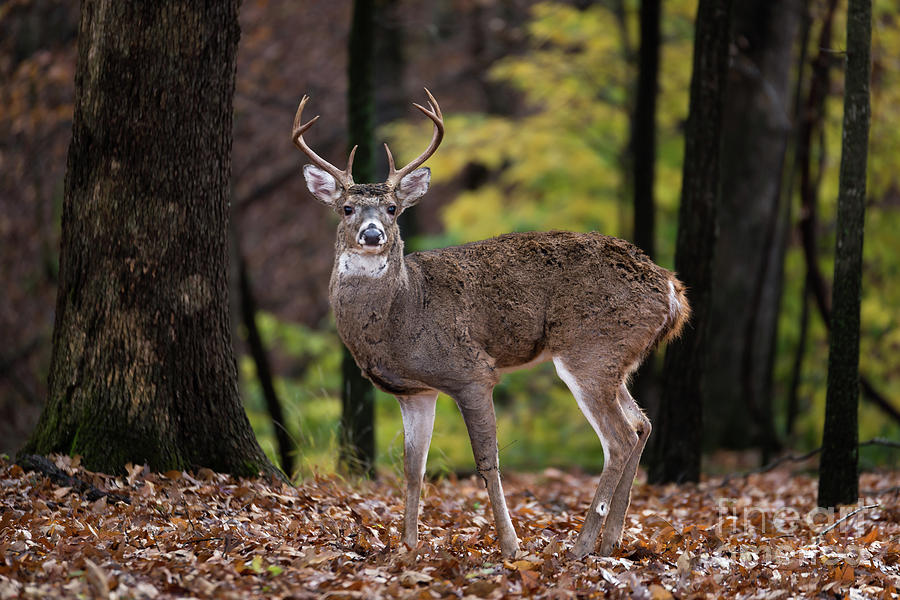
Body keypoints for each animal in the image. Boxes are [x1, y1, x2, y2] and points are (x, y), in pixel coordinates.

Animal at [294, 89, 688, 556]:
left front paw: (510, 546)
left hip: (591, 349)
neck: (402, 313)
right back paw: (609, 542)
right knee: (642, 424)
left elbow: (487, 460)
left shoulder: (472, 373)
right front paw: (408, 545)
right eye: (347, 208)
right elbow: (413, 467)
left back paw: (580, 546)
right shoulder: (416, 392)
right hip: (614, 359)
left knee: (619, 438)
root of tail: (670, 289)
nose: (373, 235)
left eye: (392, 208)